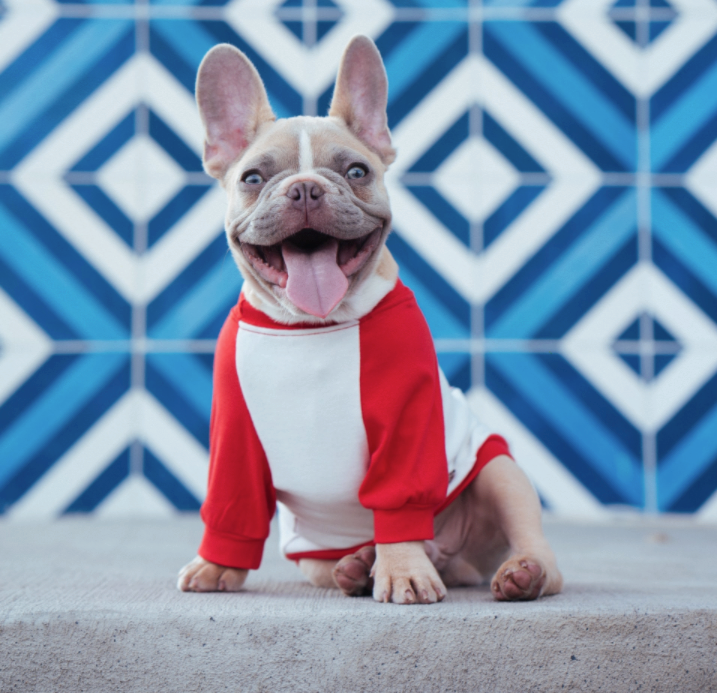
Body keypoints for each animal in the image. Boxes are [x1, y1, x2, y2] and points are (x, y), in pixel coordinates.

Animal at [176, 35, 564, 604]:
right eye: (253, 178)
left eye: (356, 172)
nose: (305, 188)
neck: (314, 327)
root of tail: (454, 560)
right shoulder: (235, 434)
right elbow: (233, 506)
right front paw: (214, 564)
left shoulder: (409, 422)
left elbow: (398, 507)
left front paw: (402, 570)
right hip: (312, 556)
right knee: (341, 562)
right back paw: (358, 565)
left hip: (499, 471)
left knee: (530, 543)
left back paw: (519, 573)